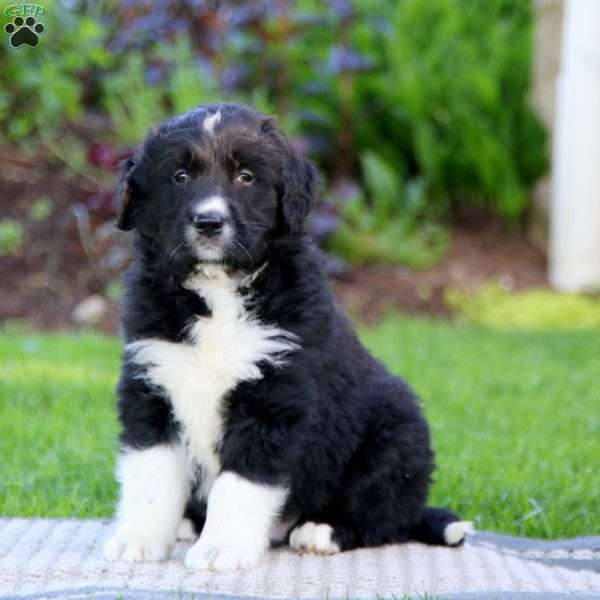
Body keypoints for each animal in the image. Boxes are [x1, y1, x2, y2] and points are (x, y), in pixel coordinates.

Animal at [103, 103, 472, 572]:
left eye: (246, 177)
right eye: (180, 176)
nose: (209, 222)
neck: (218, 292)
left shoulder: (273, 399)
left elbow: (240, 485)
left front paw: (222, 547)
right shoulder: (151, 384)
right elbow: (150, 475)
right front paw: (139, 539)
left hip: (397, 429)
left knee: (384, 515)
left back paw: (322, 529)